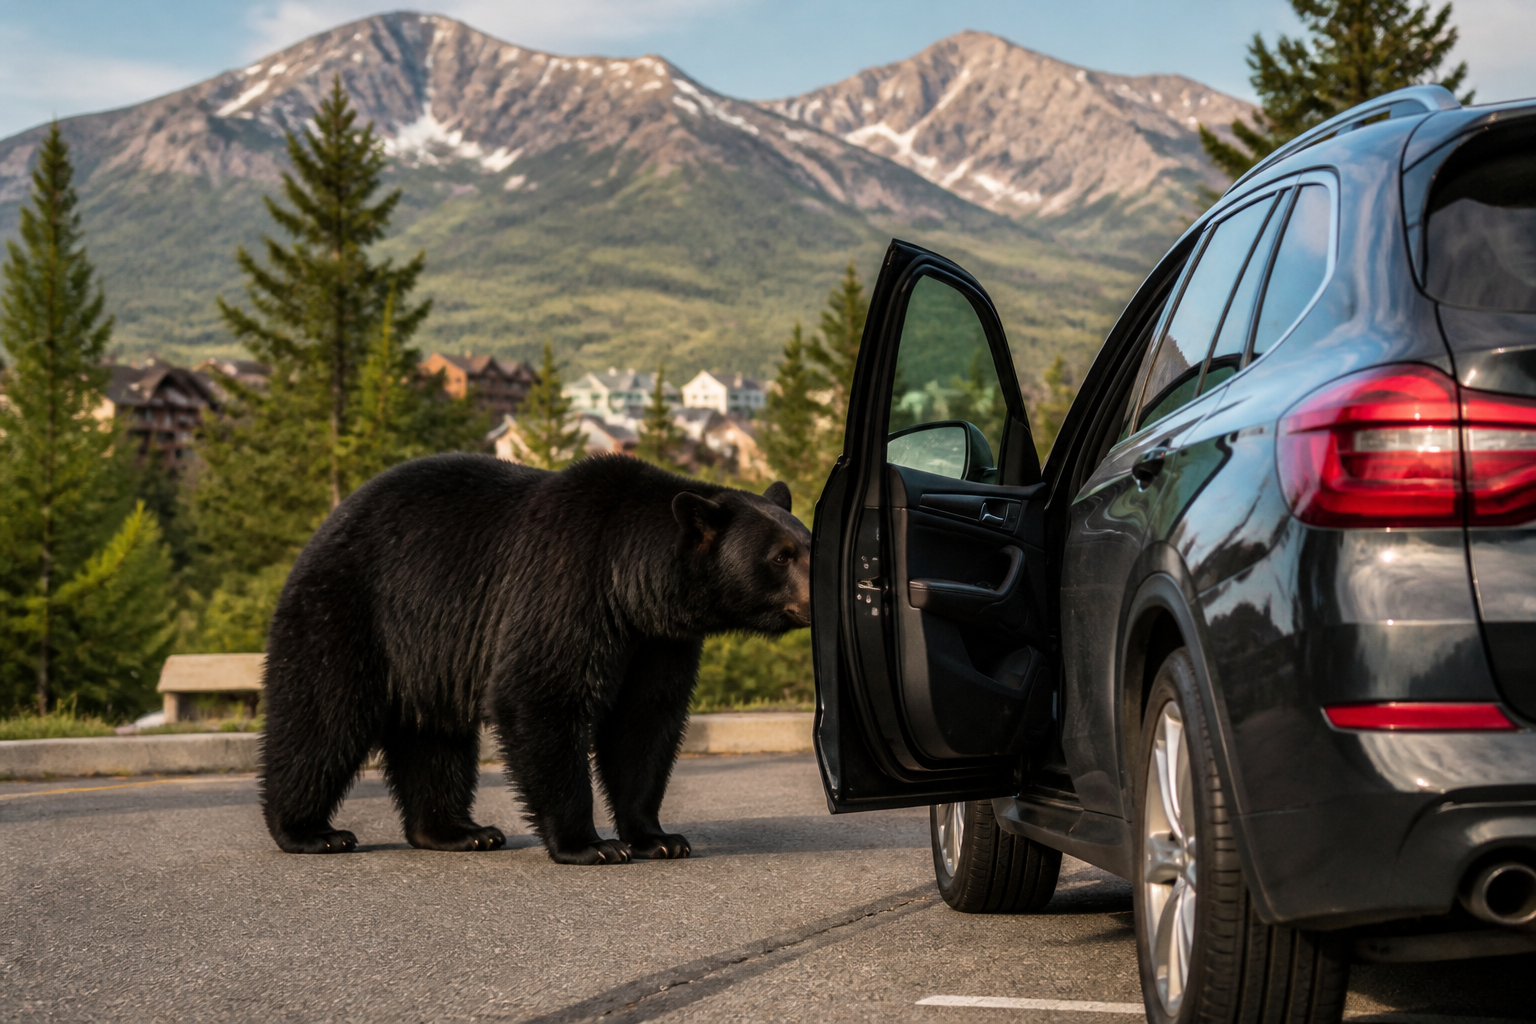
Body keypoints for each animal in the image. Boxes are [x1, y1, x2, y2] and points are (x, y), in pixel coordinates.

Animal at [258, 452, 812, 864]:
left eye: (808, 541)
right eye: (781, 556)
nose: (819, 594)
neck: (631, 583)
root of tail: (324, 527)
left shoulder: (657, 640)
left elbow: (645, 721)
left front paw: (658, 837)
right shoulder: (568, 584)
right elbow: (543, 696)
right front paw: (590, 844)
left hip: (426, 653)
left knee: (434, 738)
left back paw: (458, 830)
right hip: (350, 609)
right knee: (322, 717)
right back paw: (310, 831)